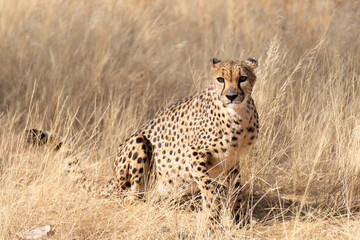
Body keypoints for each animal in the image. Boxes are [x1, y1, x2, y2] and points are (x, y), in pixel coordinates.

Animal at [26, 57, 260, 225]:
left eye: (242, 78)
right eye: (221, 79)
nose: (231, 95)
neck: (238, 114)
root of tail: (113, 177)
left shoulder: (231, 160)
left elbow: (237, 188)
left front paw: (239, 218)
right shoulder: (194, 154)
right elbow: (209, 189)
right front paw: (213, 218)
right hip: (138, 142)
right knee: (129, 198)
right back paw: (147, 207)